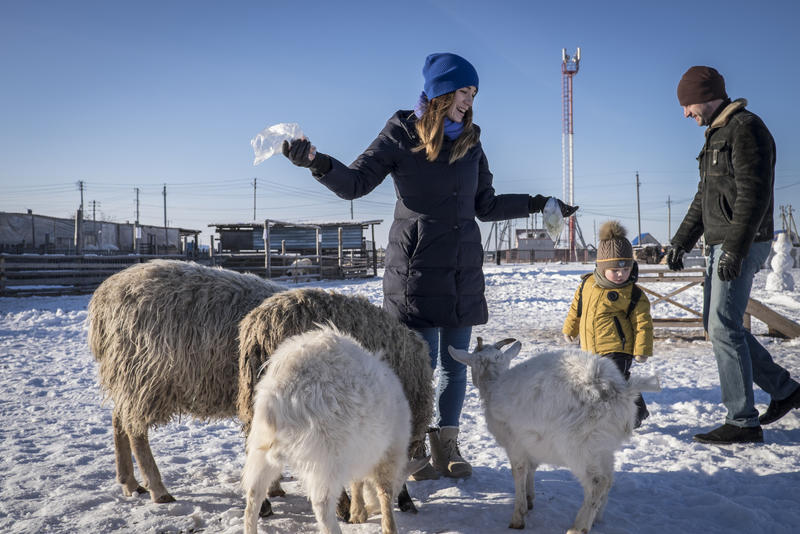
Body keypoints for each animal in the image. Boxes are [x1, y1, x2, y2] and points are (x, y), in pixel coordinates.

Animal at [87, 262, 286, 504]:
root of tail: (104, 295)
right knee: (135, 431)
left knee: (120, 419)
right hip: (143, 375)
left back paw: (129, 482)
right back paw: (158, 489)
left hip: (129, 377)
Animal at [242, 326, 412, 534]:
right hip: (326, 458)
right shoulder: (389, 451)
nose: (372, 511)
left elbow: (357, 483)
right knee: (322, 505)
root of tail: (281, 389)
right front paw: (388, 525)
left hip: (261, 446)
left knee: (253, 495)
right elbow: (384, 491)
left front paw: (358, 512)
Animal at [446, 340, 660, 534]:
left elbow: (518, 472)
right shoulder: (531, 442)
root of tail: (619, 391)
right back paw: (596, 518)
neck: (493, 384)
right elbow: (531, 469)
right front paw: (529, 501)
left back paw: (578, 527)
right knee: (608, 479)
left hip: (578, 446)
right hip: (602, 447)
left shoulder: (514, 442)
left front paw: (518, 517)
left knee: (597, 482)